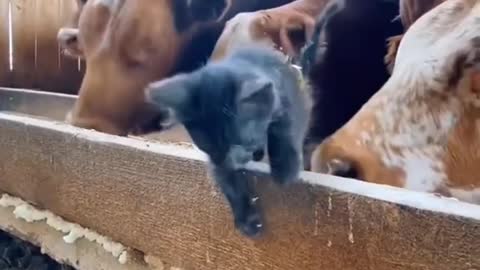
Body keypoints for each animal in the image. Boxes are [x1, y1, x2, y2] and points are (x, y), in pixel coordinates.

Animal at [142, 47, 312, 238]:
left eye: (240, 142)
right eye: (209, 149)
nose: (231, 161)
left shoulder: (289, 100)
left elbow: (285, 126)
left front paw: (285, 169)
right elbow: (227, 180)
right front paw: (246, 218)